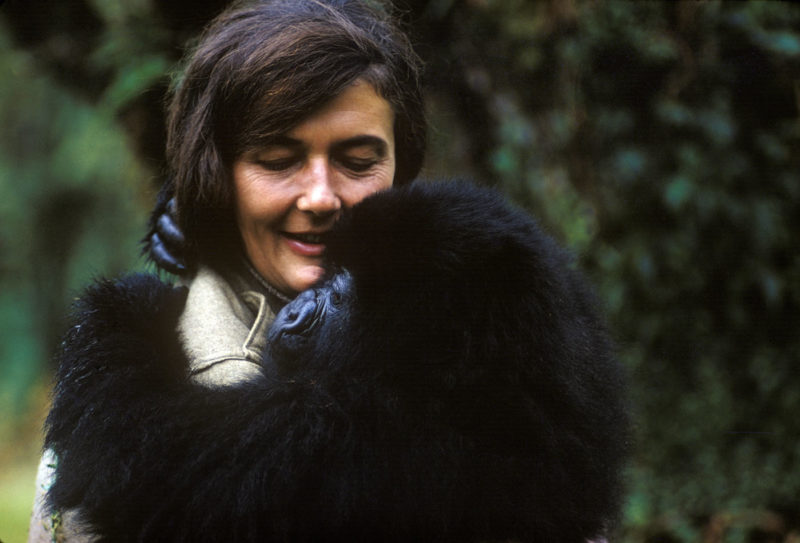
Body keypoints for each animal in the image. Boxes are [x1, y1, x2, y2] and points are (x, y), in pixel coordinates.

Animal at [45, 181, 632, 540]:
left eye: (343, 292)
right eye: (332, 271)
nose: (297, 309)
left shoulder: (341, 430)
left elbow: (133, 455)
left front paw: (129, 306)